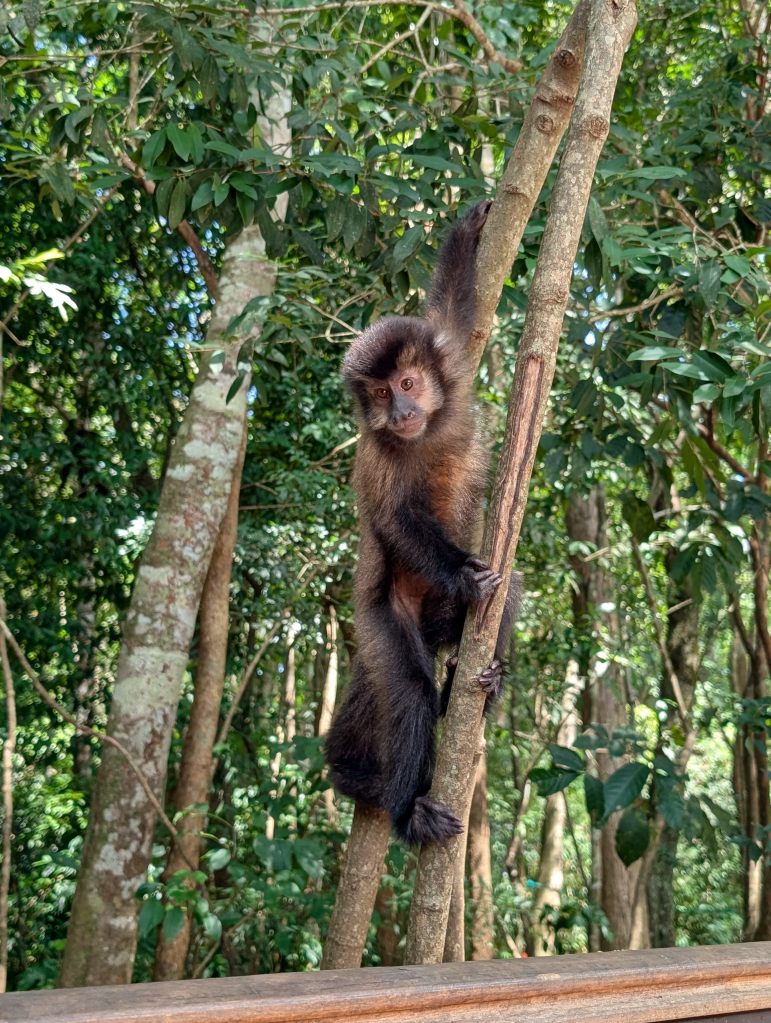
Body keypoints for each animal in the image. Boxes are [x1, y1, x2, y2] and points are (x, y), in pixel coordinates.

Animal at [325, 201, 521, 845]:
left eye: (408, 384)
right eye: (383, 394)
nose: (403, 411)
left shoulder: (452, 353)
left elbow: (455, 313)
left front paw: (470, 231)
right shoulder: (376, 453)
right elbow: (393, 520)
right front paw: (462, 573)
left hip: (441, 622)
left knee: (509, 594)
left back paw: (474, 684)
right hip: (383, 619)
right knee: (408, 690)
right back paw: (407, 810)